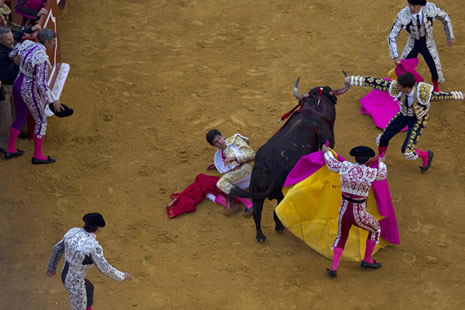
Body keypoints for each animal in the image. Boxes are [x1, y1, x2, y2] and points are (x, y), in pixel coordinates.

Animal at [230, 78, 346, 242]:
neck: (314, 110)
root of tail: (268, 165)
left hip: (256, 190)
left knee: (257, 212)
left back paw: (260, 236)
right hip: (280, 193)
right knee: (276, 210)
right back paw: (279, 228)